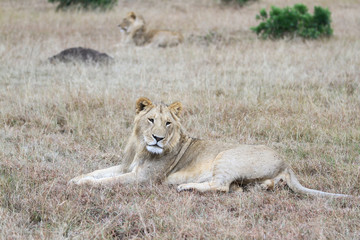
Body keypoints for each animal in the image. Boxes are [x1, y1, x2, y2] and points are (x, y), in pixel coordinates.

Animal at [69, 96, 352, 198]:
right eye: (151, 120)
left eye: (168, 123)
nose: (158, 138)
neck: (141, 147)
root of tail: (286, 162)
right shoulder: (126, 166)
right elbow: (100, 172)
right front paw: (76, 178)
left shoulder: (143, 179)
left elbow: (106, 182)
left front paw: (83, 184)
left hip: (226, 156)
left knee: (221, 187)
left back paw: (186, 187)